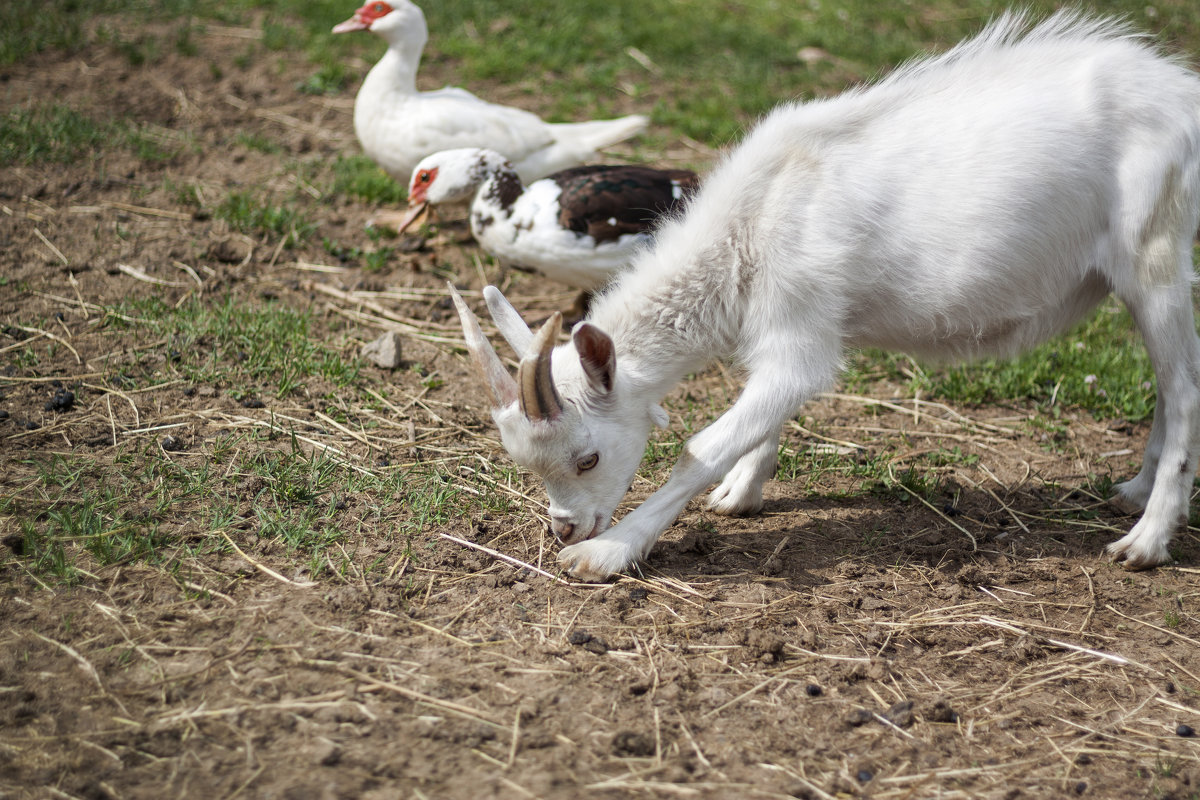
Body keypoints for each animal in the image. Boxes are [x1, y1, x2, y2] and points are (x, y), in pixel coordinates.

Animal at [448, 12, 1200, 582]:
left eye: (588, 457)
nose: (564, 527)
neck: (751, 221)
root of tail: (1182, 91)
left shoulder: (801, 332)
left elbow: (704, 444)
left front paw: (609, 551)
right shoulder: (783, 328)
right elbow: (762, 417)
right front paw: (743, 492)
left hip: (1156, 249)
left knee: (1185, 388)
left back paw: (1147, 540)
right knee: (1170, 383)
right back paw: (1134, 493)